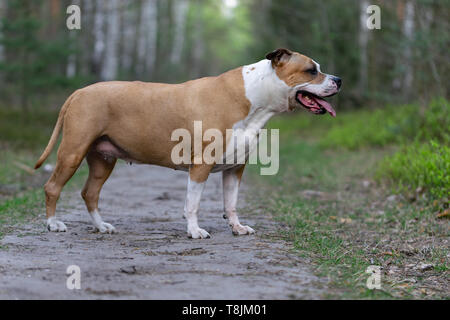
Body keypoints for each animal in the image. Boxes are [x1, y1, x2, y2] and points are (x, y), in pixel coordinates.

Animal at [34, 47, 342, 238]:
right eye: (311, 70)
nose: (338, 79)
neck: (254, 97)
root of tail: (79, 92)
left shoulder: (235, 168)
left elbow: (231, 203)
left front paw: (237, 227)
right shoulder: (201, 166)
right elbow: (192, 203)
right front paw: (194, 231)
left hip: (103, 160)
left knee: (90, 193)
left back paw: (101, 226)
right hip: (72, 152)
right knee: (53, 187)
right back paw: (53, 224)